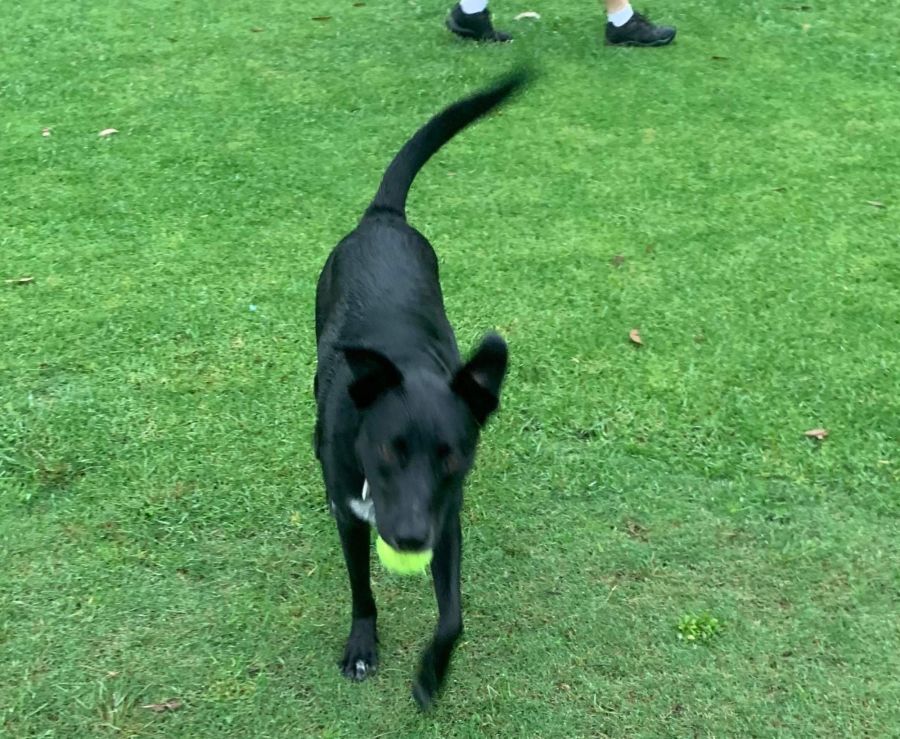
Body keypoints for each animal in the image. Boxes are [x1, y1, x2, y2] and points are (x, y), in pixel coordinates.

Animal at [313, 72, 528, 709]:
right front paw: (362, 647)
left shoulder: (446, 517)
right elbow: (361, 589)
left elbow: (453, 615)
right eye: (388, 450)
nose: (408, 539)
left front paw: (432, 673)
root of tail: (383, 217)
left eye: (452, 459)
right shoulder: (352, 514)